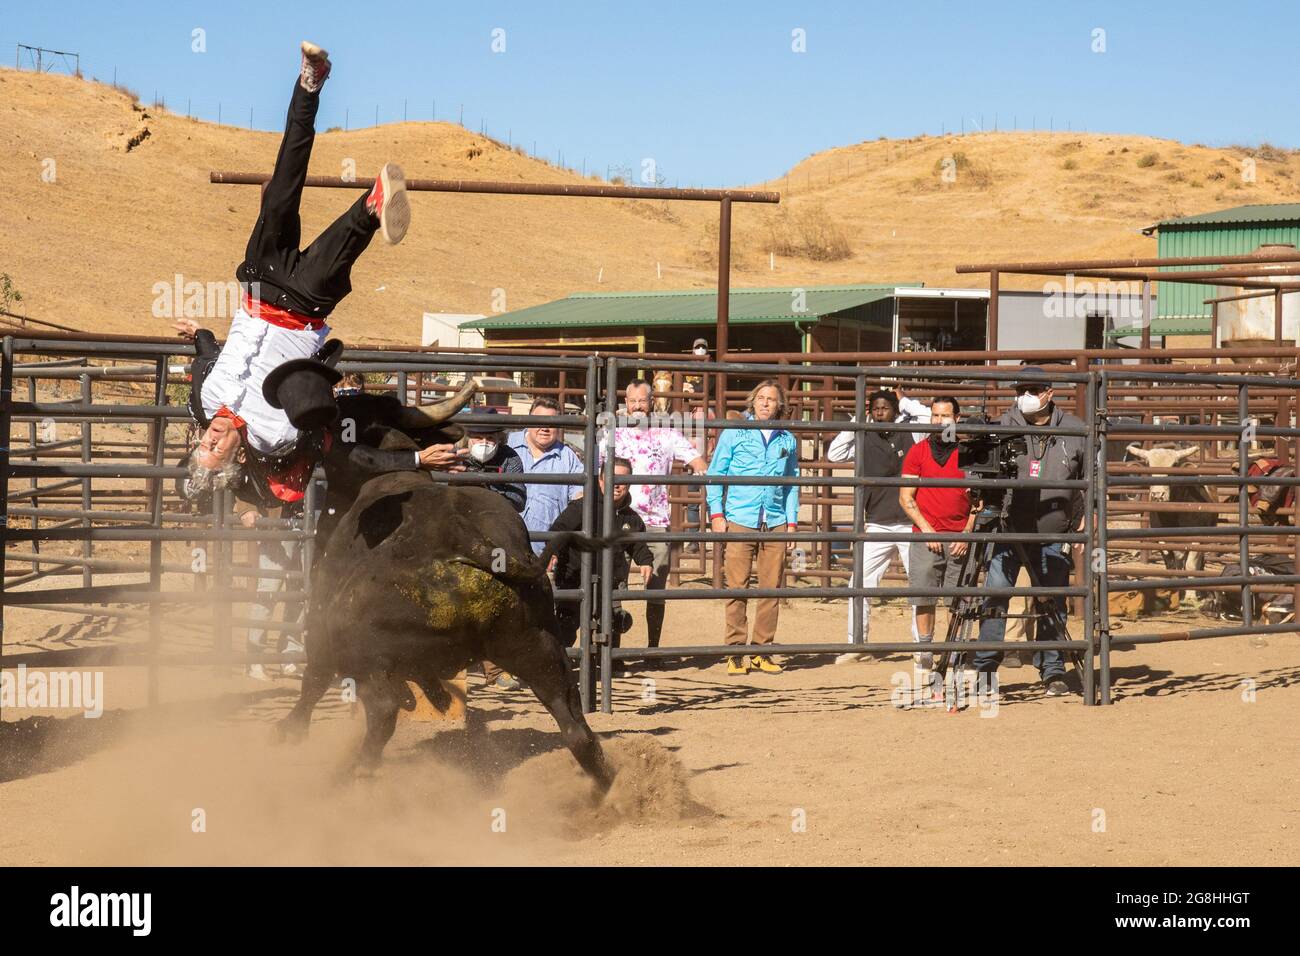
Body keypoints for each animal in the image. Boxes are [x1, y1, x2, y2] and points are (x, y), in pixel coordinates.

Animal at [273, 385, 613, 790]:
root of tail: (467, 539)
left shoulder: (321, 621)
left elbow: (314, 677)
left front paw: (289, 731)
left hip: (365, 654)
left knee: (381, 710)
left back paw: (355, 772)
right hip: (539, 646)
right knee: (576, 727)